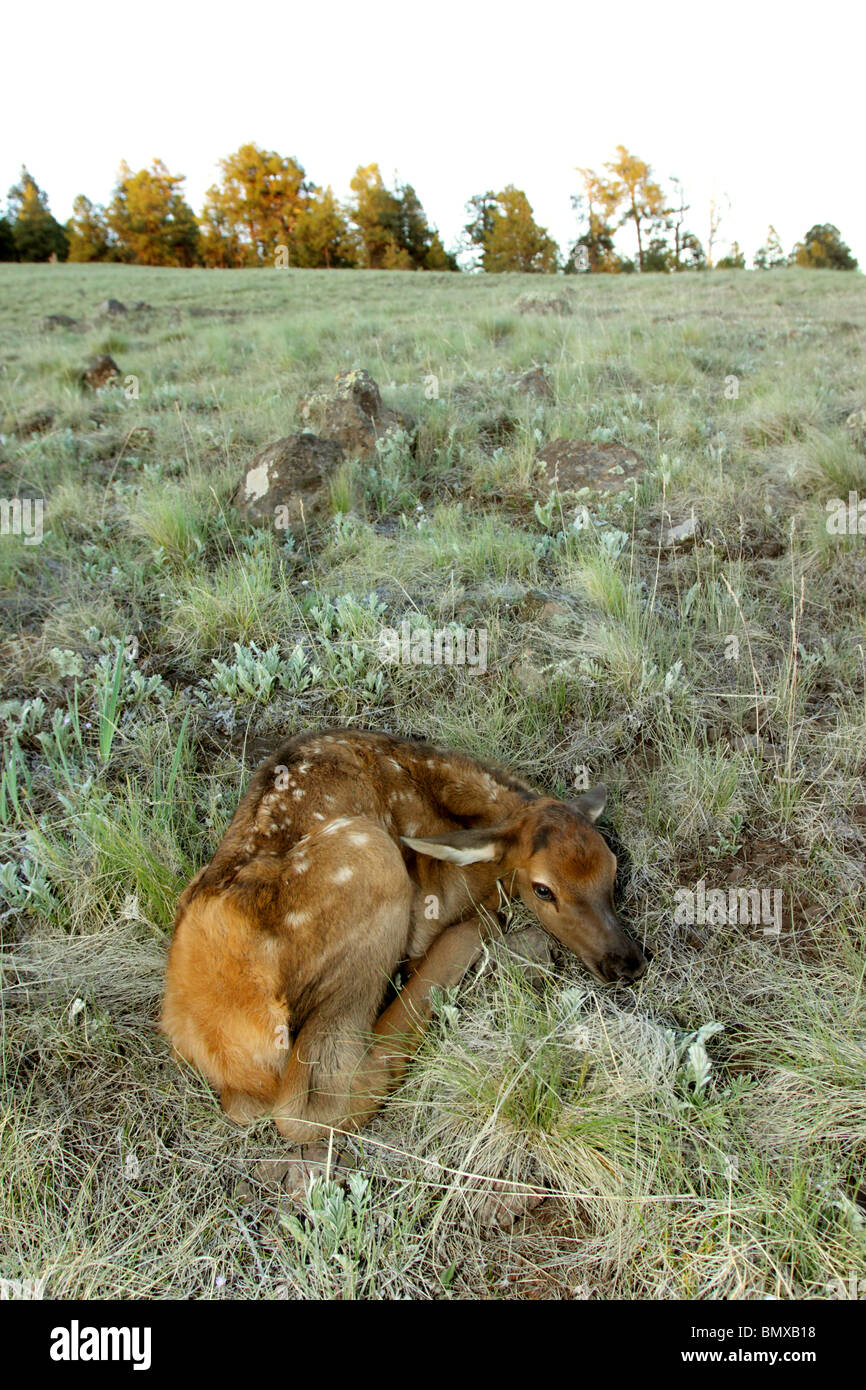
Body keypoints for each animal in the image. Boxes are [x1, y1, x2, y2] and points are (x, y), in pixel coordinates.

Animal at [162, 728, 650, 1139]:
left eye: (613, 868)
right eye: (543, 889)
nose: (626, 963)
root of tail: (216, 1032)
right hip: (370, 859)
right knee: (313, 1103)